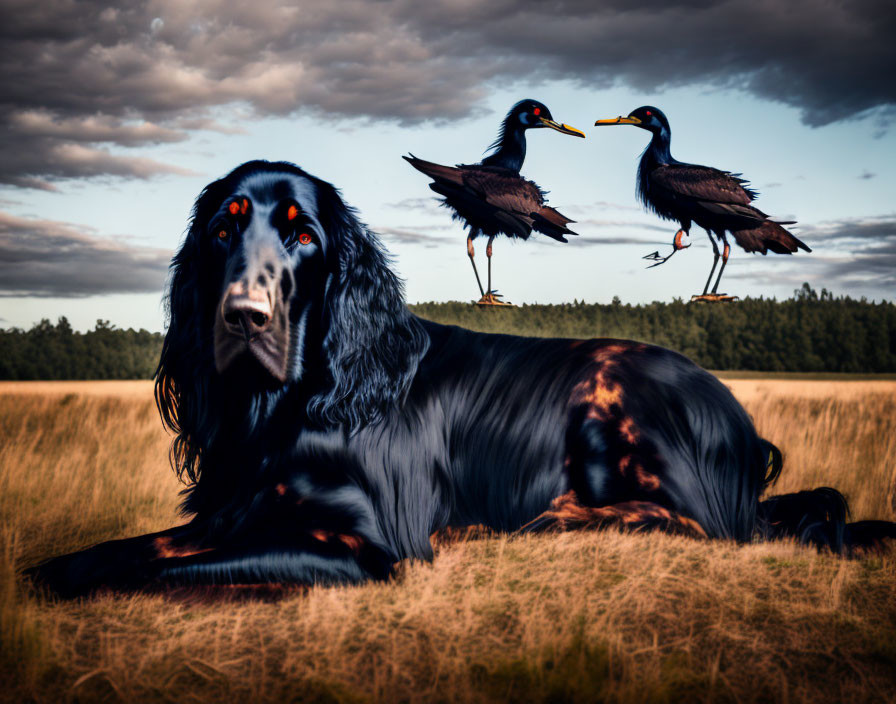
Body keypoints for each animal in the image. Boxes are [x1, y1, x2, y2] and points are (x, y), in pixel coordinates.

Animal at [28, 161, 896, 592]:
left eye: (304, 235)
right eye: (220, 228)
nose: (244, 316)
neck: (287, 403)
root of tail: (736, 411)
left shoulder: (366, 548)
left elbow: (143, 571)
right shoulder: (228, 515)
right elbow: (109, 555)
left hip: (610, 397)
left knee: (709, 529)